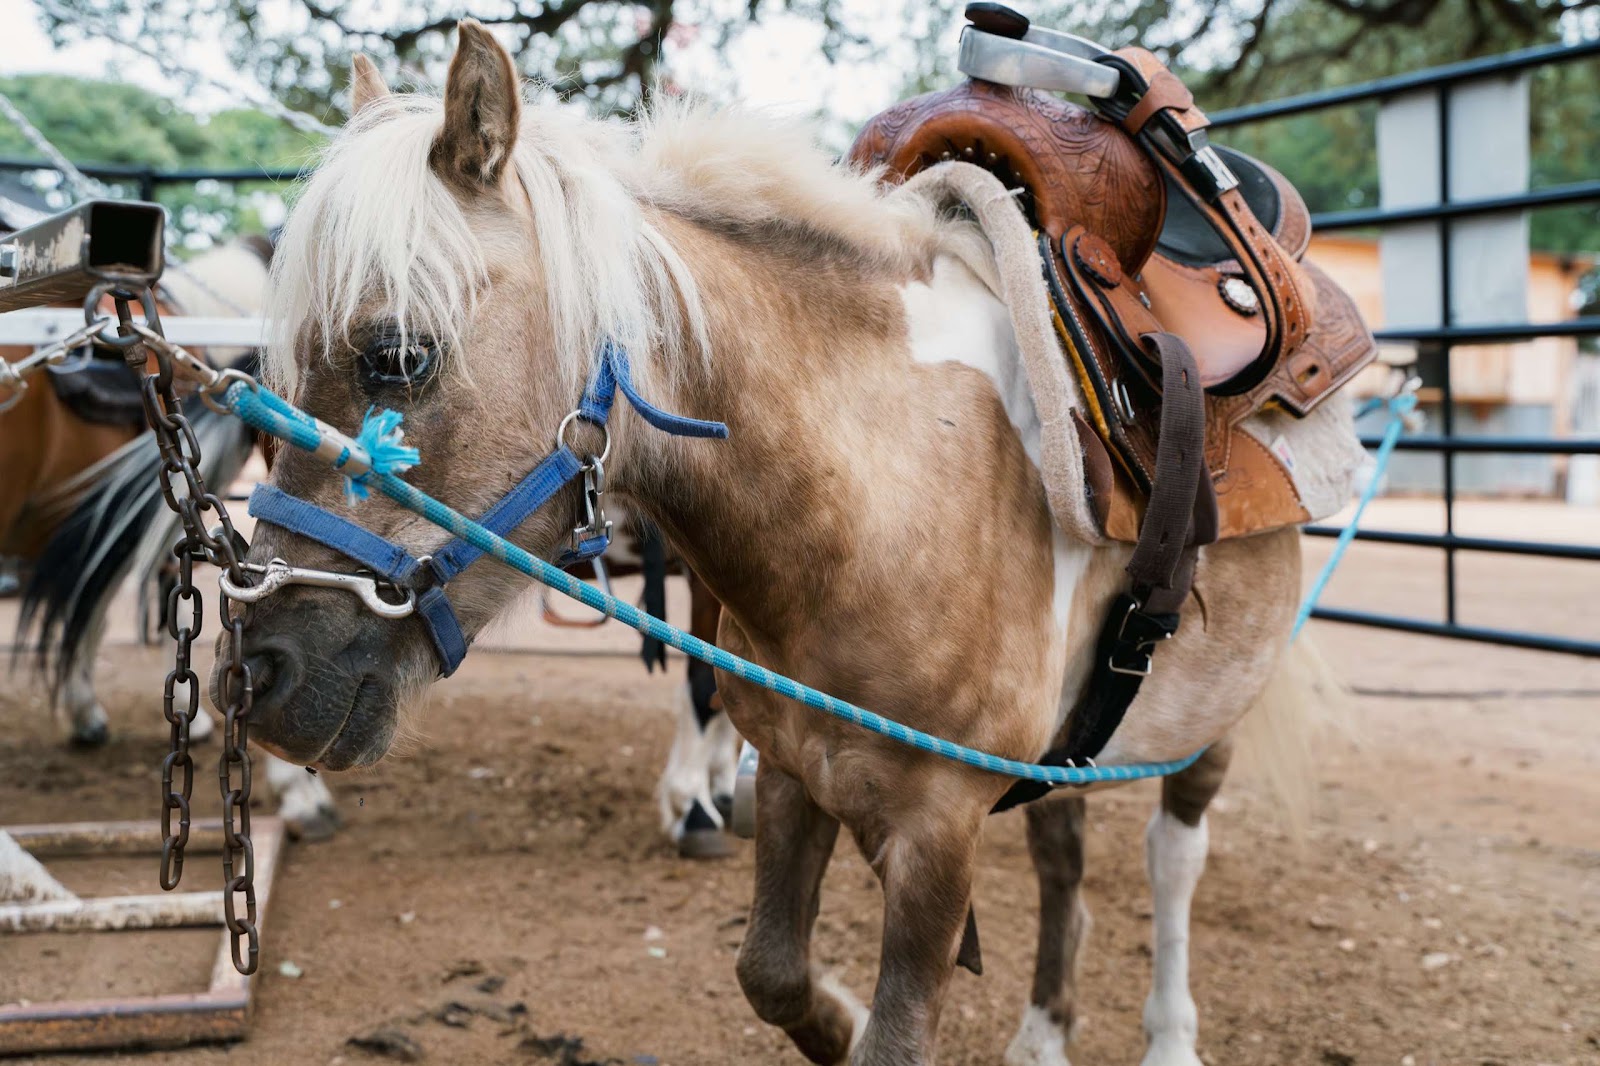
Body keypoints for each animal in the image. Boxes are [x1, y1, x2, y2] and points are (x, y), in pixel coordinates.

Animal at [217, 25, 1326, 1064]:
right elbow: (771, 970)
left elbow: (890, 1032)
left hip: (1207, 717)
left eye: (397, 355)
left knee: (1173, 858)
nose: (258, 675)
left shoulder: (937, 838)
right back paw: (1044, 1032)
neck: (884, 488)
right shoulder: (798, 771)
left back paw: (1169, 1033)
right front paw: (832, 1011)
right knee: (1064, 852)